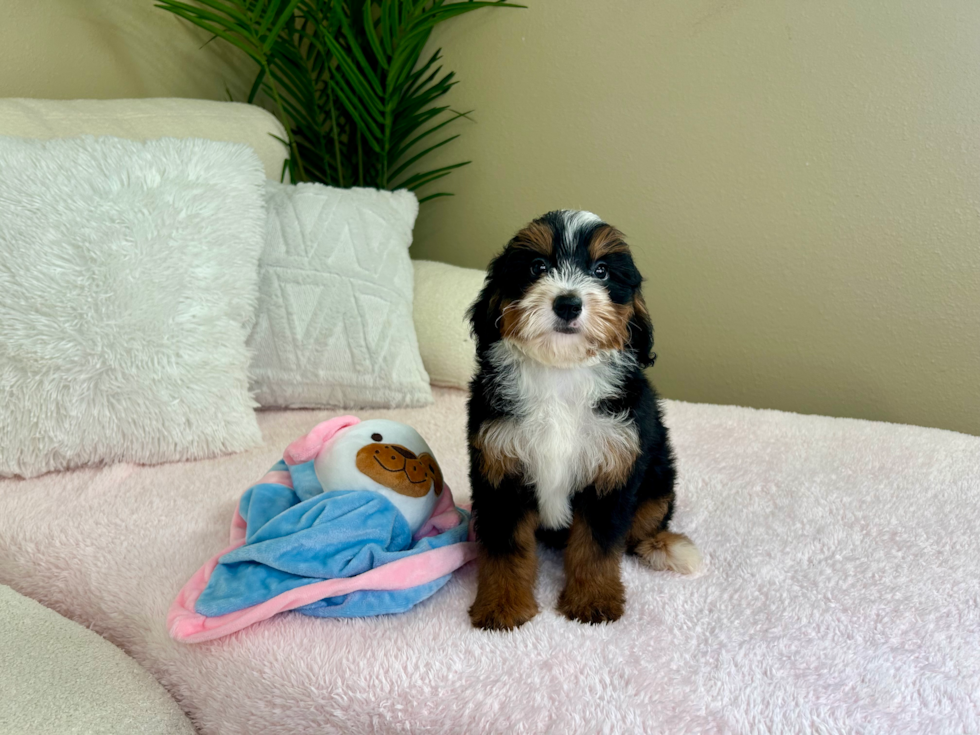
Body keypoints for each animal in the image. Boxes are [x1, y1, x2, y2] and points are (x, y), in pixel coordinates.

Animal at [466, 210, 696, 628]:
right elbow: (504, 546)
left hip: (658, 478)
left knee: (646, 526)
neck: (561, 373)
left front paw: (593, 601)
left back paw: (668, 548)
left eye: (601, 271)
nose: (569, 303)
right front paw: (502, 606)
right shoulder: (499, 467)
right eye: (537, 266)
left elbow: (597, 545)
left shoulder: (613, 466)